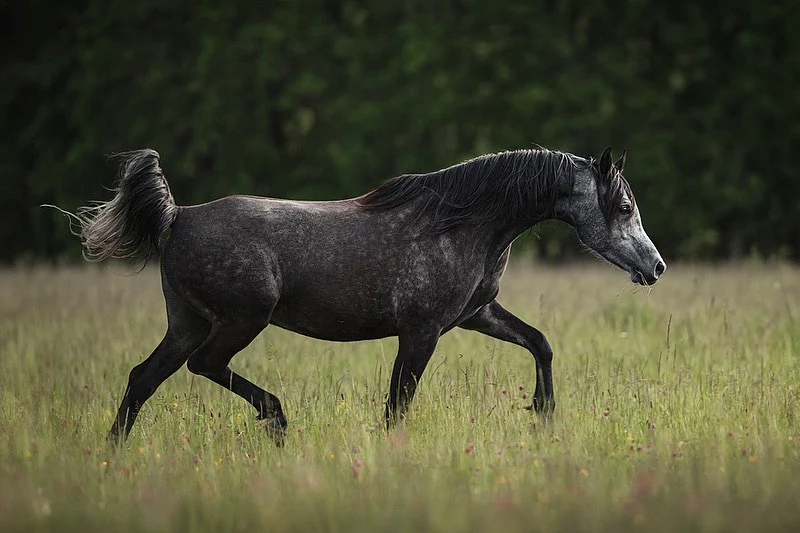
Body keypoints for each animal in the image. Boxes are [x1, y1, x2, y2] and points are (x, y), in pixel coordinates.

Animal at [56, 146, 665, 443]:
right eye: (624, 206)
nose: (656, 267)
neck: (462, 223)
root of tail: (178, 215)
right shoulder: (421, 332)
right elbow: (398, 403)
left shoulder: (477, 314)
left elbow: (540, 342)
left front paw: (543, 415)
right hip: (239, 320)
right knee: (202, 367)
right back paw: (278, 420)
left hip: (188, 322)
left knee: (143, 378)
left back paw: (112, 454)